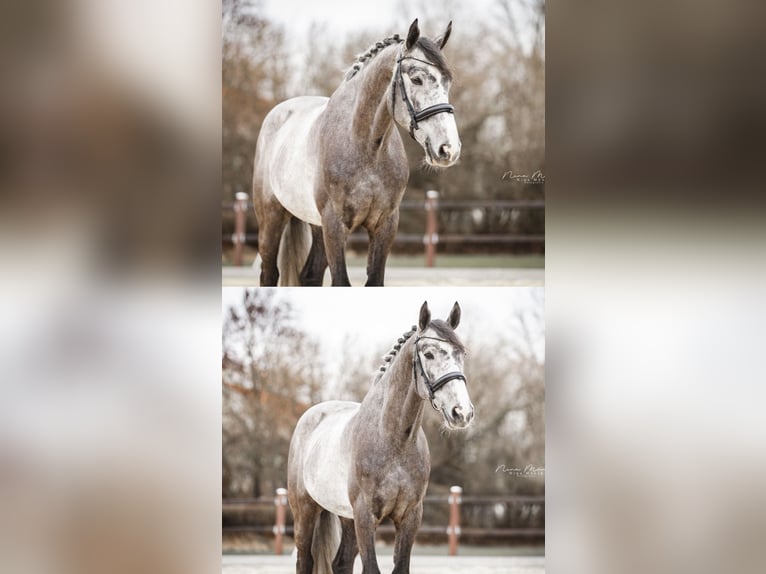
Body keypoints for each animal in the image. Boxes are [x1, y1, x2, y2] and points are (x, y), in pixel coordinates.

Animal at [254, 21, 462, 288]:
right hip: (271, 219)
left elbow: (374, 281)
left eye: (448, 82)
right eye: (416, 79)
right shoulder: (334, 225)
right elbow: (341, 282)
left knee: (310, 274)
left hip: (316, 226)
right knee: (269, 273)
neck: (365, 148)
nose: (448, 149)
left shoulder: (385, 225)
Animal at [288, 304, 474, 572]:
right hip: (305, 511)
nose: (462, 412)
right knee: (305, 560)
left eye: (462, 354)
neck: (393, 440)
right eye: (429, 354)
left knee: (341, 562)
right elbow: (371, 568)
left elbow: (401, 566)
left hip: (347, 518)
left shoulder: (410, 517)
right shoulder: (365, 516)